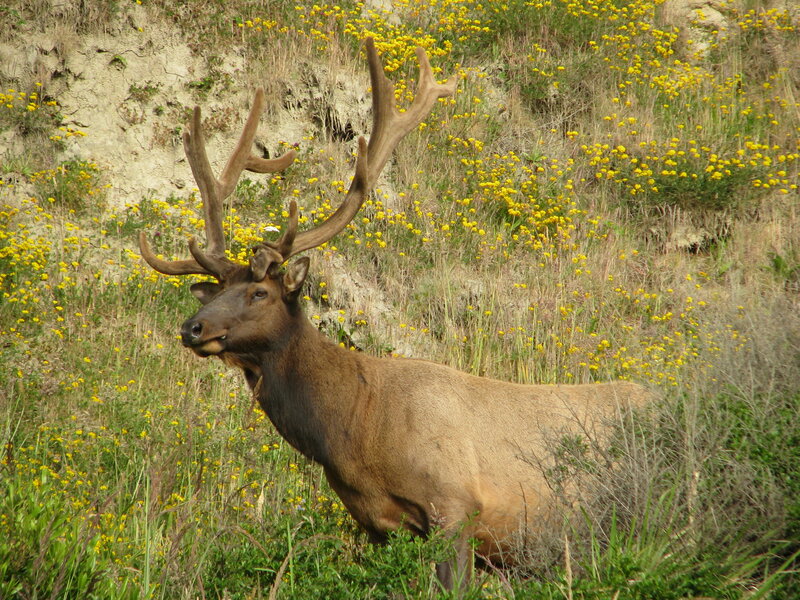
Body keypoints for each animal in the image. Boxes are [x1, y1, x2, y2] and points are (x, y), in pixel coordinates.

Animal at [138, 38, 650, 590]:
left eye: (260, 293)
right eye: (213, 292)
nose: (192, 328)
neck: (355, 433)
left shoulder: (455, 504)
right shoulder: (377, 524)